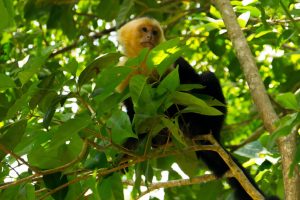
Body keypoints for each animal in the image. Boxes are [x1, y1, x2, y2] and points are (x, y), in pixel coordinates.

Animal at [116, 17, 278, 200]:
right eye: (144, 30)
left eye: (155, 32)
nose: (150, 35)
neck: (144, 60)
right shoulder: (125, 71)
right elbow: (133, 112)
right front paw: (128, 147)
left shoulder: (168, 58)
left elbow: (186, 86)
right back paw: (162, 137)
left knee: (207, 78)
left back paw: (198, 128)